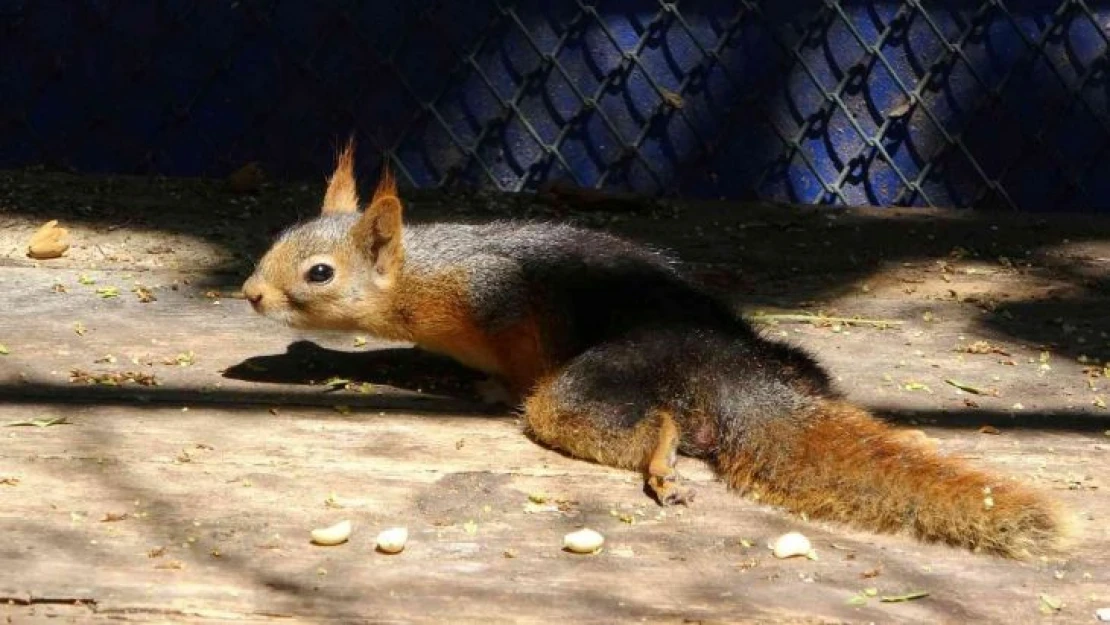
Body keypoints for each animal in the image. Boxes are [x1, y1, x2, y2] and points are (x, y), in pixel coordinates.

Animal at [245, 144, 1065, 559]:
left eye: (319, 274)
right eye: (277, 241)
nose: (250, 293)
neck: (425, 278)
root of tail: (728, 365)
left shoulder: (502, 300)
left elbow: (518, 355)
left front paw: (491, 387)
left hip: (599, 380)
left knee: (635, 415)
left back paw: (660, 458)